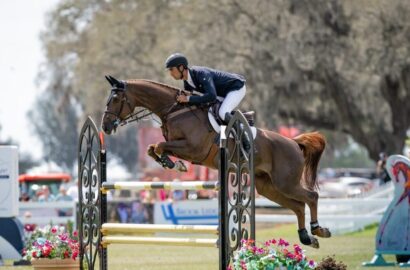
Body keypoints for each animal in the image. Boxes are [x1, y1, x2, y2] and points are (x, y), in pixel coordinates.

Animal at [101, 75, 332, 248]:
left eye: (115, 99)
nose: (105, 127)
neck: (174, 110)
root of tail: (293, 142)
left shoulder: (193, 148)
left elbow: (158, 146)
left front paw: (174, 164)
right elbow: (153, 148)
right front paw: (172, 164)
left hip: (285, 182)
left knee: (311, 197)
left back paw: (318, 229)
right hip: (268, 186)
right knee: (298, 206)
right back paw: (307, 238)